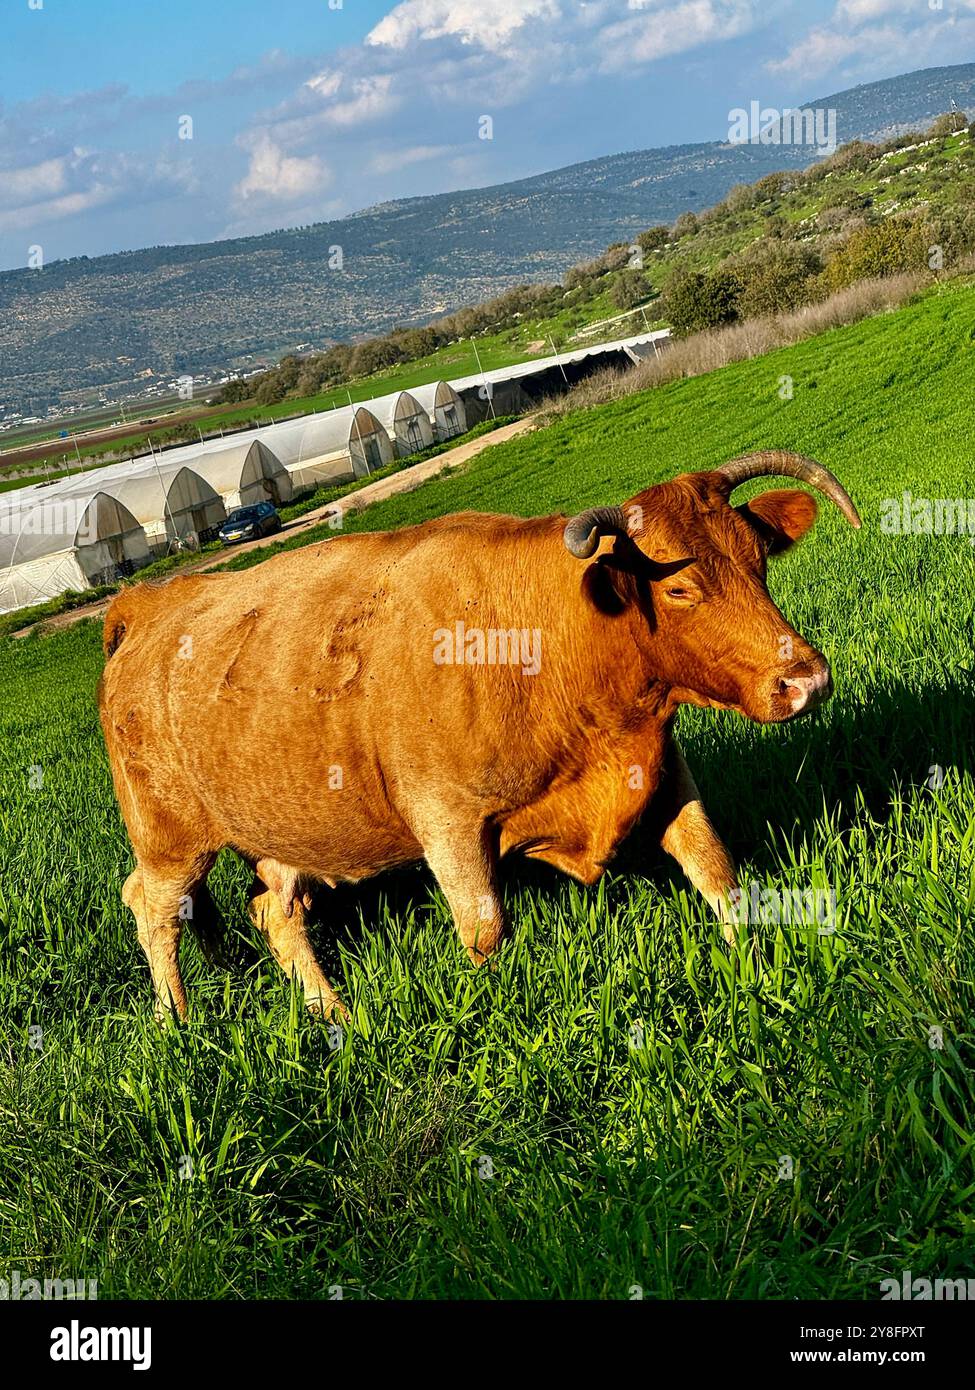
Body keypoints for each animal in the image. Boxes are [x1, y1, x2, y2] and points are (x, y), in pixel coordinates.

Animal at [98, 450, 860, 1022]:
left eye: (757, 560)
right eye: (680, 591)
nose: (806, 679)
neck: (547, 634)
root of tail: (146, 604)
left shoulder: (659, 766)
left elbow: (713, 866)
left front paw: (748, 958)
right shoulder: (448, 823)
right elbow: (485, 932)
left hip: (281, 828)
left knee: (275, 913)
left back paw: (336, 1016)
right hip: (172, 840)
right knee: (152, 909)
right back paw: (177, 1019)